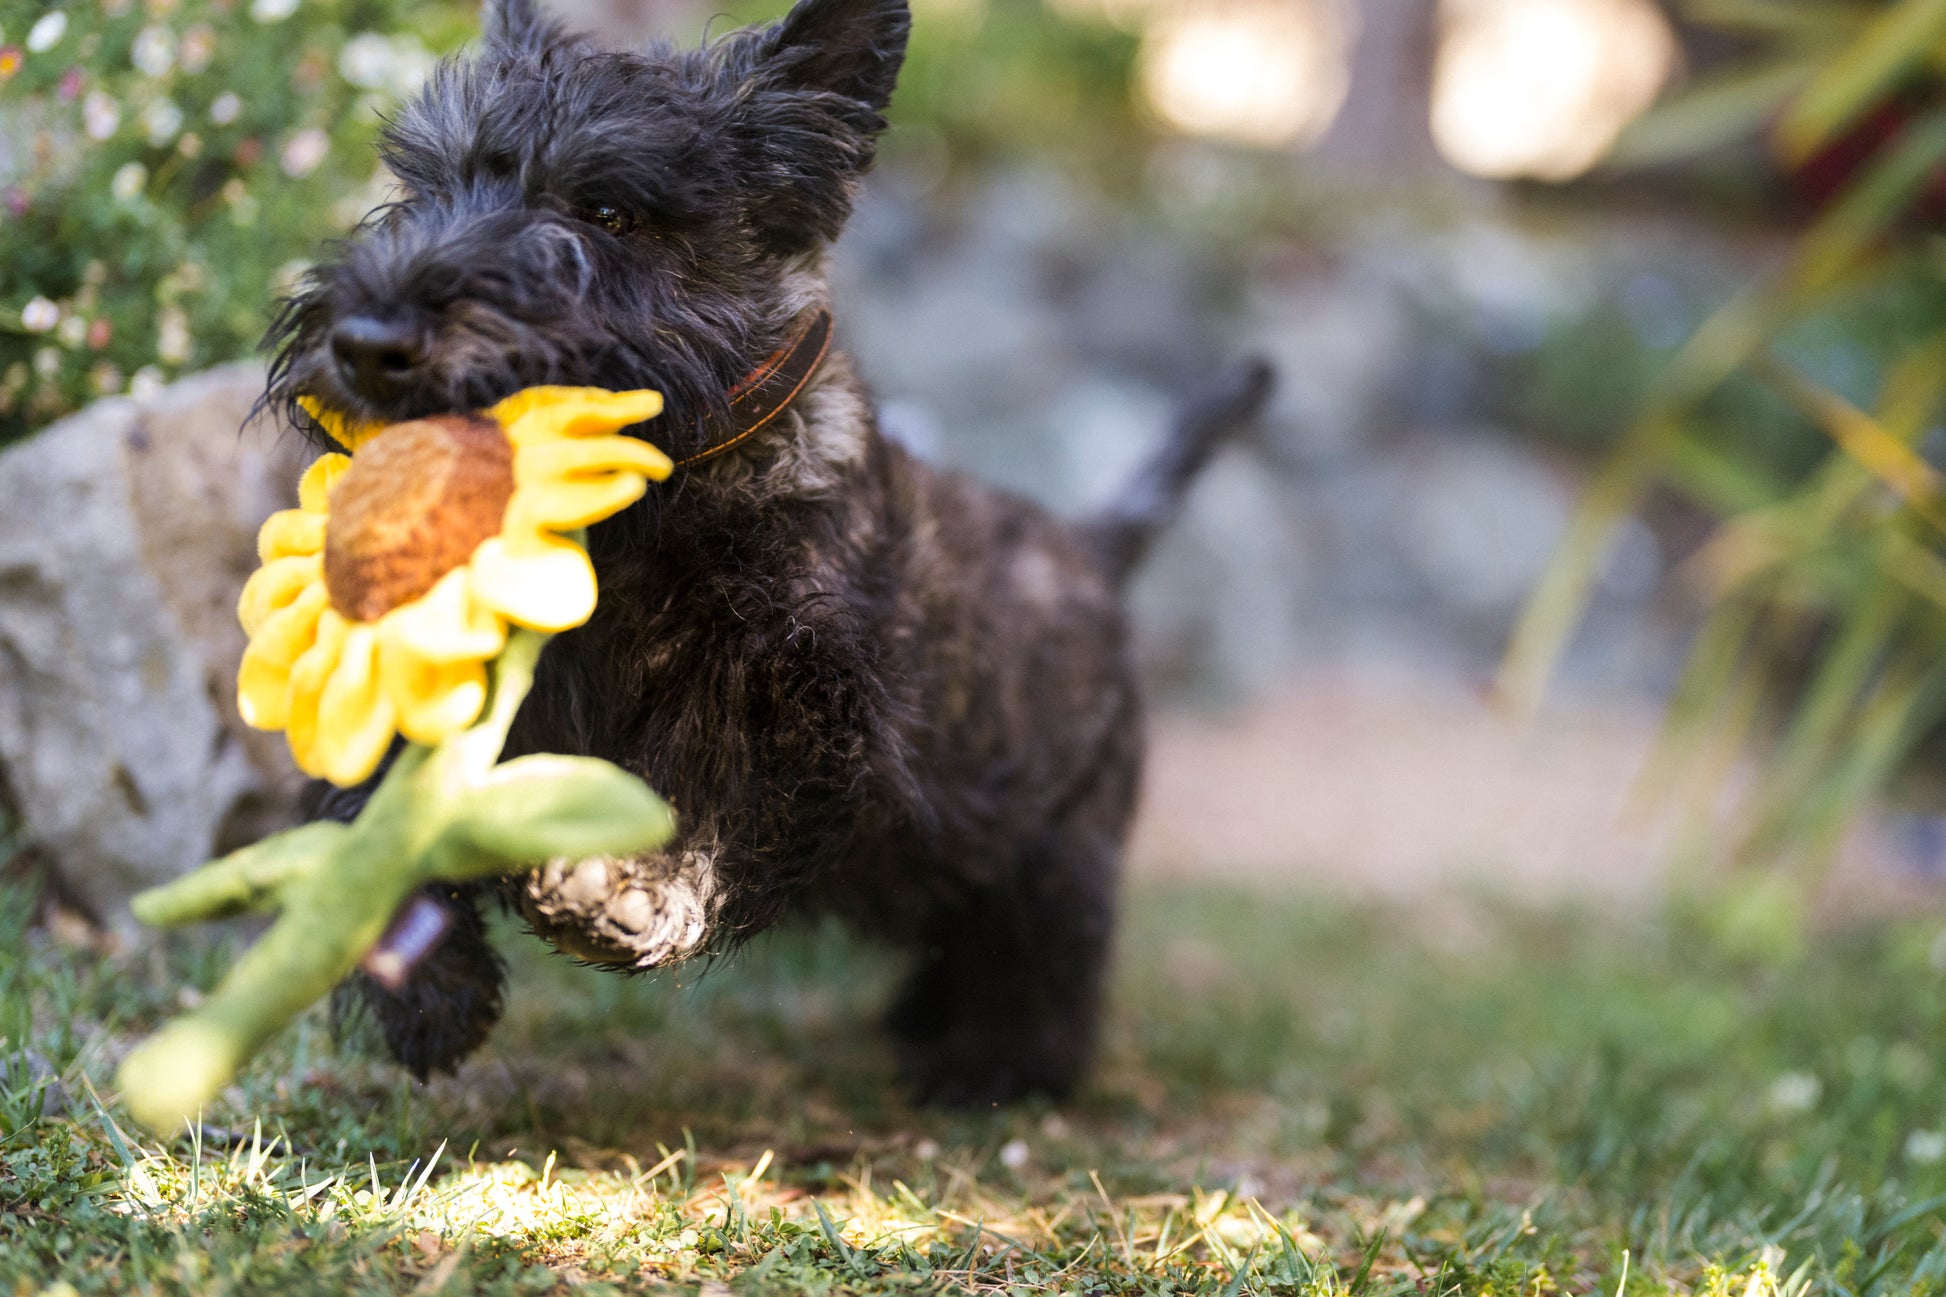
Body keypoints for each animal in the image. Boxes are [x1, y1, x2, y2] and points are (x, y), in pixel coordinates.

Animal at [278, 0, 1276, 1098]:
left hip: (1059, 851)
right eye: (428, 184)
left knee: (1049, 956)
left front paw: (624, 894)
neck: (643, 513)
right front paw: (426, 985)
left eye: (609, 211)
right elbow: (372, 806)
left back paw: (997, 1065)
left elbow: (718, 819)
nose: (368, 344)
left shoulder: (807, 712)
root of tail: (1092, 549)